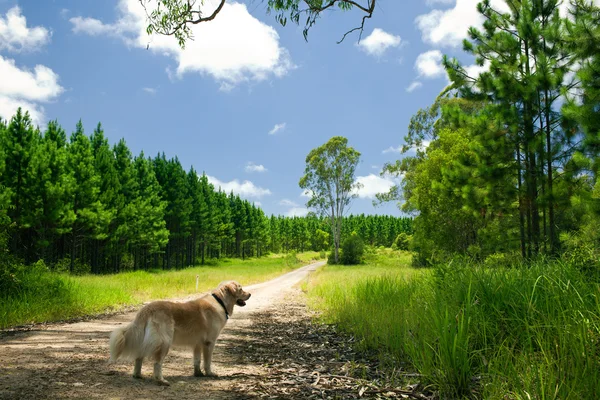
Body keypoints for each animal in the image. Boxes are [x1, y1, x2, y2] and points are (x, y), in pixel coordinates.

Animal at [108, 280, 251, 386]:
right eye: (241, 289)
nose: (249, 294)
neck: (220, 302)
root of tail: (147, 309)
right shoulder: (209, 342)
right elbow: (207, 361)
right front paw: (210, 373)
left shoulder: (198, 343)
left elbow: (197, 360)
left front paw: (198, 374)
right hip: (164, 342)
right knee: (157, 363)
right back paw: (161, 380)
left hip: (148, 340)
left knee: (139, 357)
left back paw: (138, 375)